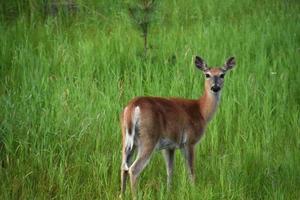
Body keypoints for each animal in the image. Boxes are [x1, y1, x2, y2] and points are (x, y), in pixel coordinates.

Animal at [120, 55, 237, 196]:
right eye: (207, 74)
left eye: (222, 74)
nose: (215, 87)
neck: (201, 111)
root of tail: (133, 106)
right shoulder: (189, 141)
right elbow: (191, 170)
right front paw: (194, 190)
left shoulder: (169, 146)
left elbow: (170, 171)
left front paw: (169, 191)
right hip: (148, 138)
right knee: (133, 169)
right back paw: (135, 195)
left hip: (127, 140)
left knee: (123, 167)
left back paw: (121, 195)